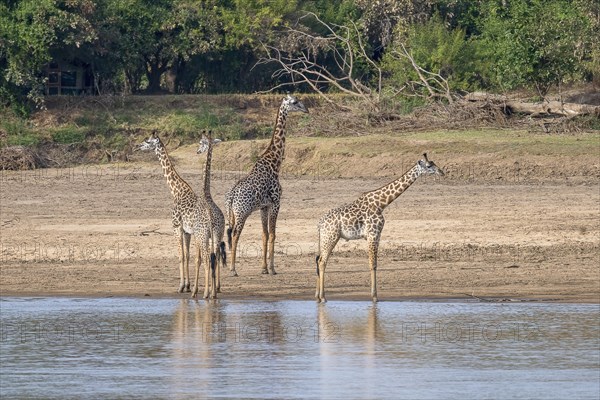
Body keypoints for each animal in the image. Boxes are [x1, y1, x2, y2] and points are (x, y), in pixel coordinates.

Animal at [138, 133, 216, 298]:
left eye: (148, 141)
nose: (138, 146)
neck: (176, 191)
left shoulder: (176, 226)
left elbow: (180, 256)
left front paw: (181, 286)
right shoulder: (187, 231)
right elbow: (187, 255)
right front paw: (187, 286)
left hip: (202, 235)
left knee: (207, 257)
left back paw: (207, 293)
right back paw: (212, 291)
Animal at [225, 94, 310, 276]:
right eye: (295, 102)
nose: (306, 109)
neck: (275, 163)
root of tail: (231, 197)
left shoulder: (264, 206)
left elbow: (264, 234)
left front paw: (263, 268)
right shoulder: (276, 202)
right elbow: (273, 234)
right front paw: (272, 268)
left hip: (232, 214)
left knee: (227, 234)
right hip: (242, 213)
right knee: (235, 235)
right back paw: (233, 269)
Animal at [316, 154, 442, 304]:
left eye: (434, 162)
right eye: (429, 165)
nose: (441, 172)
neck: (381, 203)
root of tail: (320, 223)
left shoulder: (377, 235)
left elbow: (374, 263)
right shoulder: (373, 234)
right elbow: (373, 264)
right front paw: (375, 297)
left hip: (325, 238)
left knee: (318, 260)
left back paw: (317, 296)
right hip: (331, 237)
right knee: (322, 262)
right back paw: (323, 297)